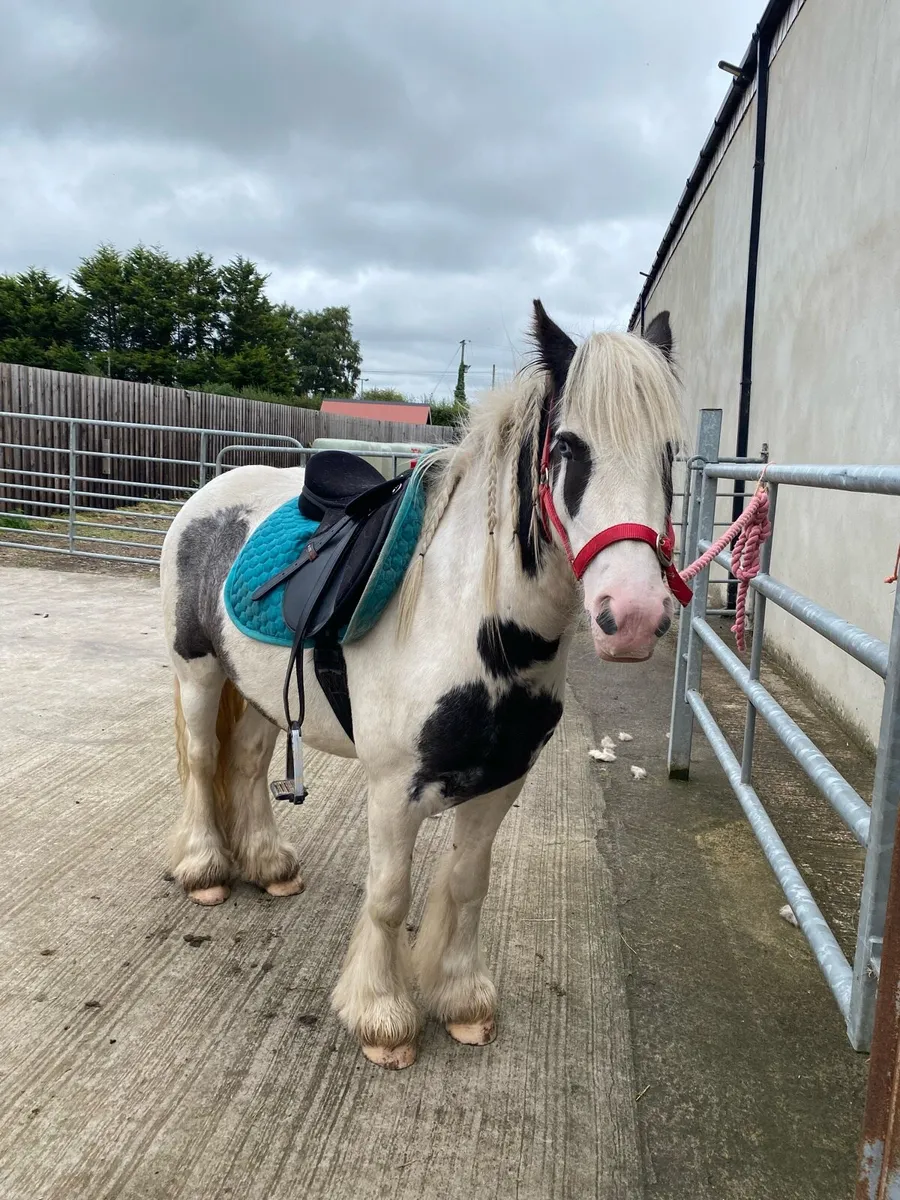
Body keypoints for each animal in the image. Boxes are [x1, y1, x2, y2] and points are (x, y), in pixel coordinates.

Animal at [159, 301, 683, 1069]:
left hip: (257, 691)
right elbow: (388, 895)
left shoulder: (501, 784)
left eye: (670, 453)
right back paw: (205, 871)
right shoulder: (392, 791)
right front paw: (383, 1017)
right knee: (201, 762)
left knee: (249, 764)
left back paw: (268, 863)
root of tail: (210, 495)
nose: (636, 616)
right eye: (567, 447)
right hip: (197, 670)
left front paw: (459, 999)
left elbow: (466, 885)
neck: (468, 620)